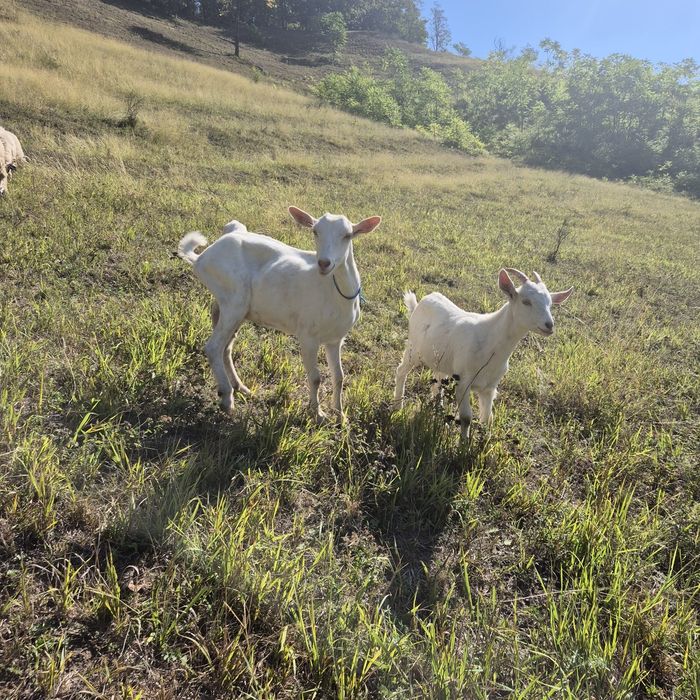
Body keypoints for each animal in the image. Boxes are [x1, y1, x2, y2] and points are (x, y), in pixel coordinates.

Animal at [178, 206, 381, 422]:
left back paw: (240, 387)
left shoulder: (335, 339)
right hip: (233, 300)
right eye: (315, 231)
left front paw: (340, 415)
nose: (324, 263)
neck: (333, 291)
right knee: (213, 347)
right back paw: (227, 398)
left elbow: (339, 376)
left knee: (226, 347)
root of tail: (202, 257)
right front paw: (317, 414)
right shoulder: (307, 335)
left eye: (348, 235)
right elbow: (316, 378)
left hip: (234, 309)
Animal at [394, 268, 573, 438]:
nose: (549, 325)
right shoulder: (464, 381)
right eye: (526, 301)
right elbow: (466, 418)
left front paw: (484, 441)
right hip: (414, 349)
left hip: (441, 359)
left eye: (550, 304)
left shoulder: (490, 387)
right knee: (401, 371)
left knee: (438, 380)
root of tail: (420, 303)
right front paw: (463, 445)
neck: (490, 340)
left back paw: (438, 412)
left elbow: (487, 419)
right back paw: (398, 406)